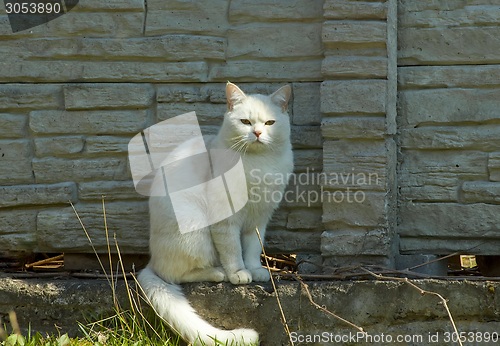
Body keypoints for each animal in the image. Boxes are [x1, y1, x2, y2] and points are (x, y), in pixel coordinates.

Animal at [138, 82, 292, 344]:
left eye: (269, 123)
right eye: (245, 122)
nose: (257, 133)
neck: (259, 165)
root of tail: (150, 261)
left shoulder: (258, 221)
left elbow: (252, 248)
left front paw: (255, 270)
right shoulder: (226, 221)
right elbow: (233, 250)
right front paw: (239, 273)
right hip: (195, 232)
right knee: (173, 274)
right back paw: (218, 272)